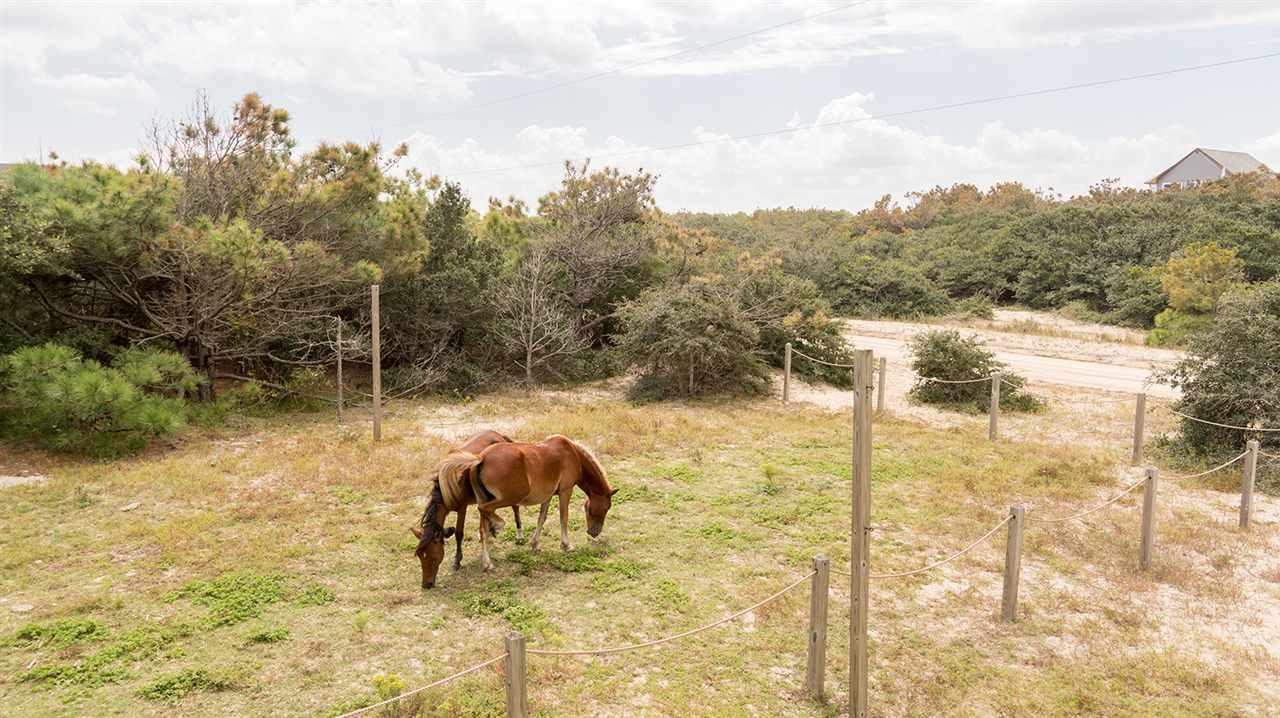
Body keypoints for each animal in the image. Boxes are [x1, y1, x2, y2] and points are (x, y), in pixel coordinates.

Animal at [414, 427, 524, 586]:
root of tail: (499, 435)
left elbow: (459, 533)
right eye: (420, 557)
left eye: (433, 557)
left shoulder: (462, 508)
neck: (446, 487)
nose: (426, 585)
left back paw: (519, 534)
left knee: (515, 506)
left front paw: (457, 561)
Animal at [437, 435, 616, 573]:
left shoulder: (548, 496)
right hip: (510, 497)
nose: (594, 532)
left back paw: (488, 563)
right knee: (485, 511)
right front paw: (566, 545)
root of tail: (481, 459)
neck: (572, 454)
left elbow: (541, 518)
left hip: (488, 498)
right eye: (606, 508)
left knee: (483, 528)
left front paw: (535, 544)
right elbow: (563, 518)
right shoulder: (566, 491)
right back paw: (498, 526)